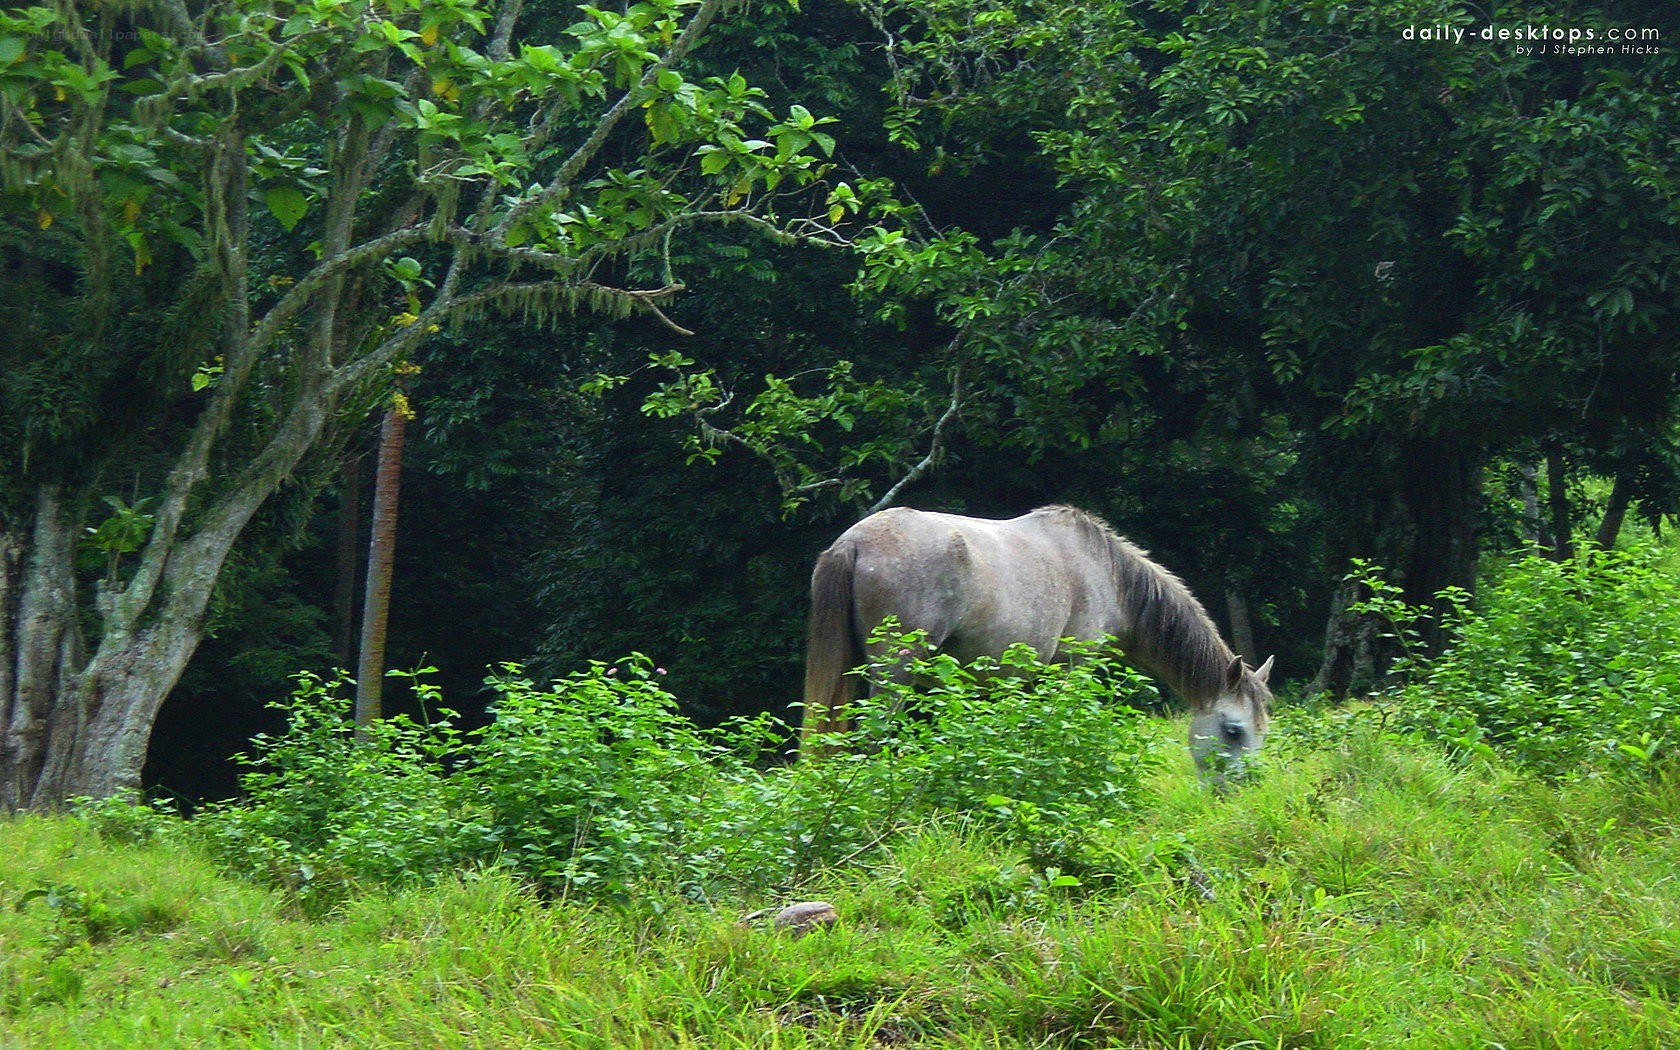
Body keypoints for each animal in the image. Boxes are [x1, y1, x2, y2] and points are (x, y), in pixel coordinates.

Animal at [800, 505, 1274, 781]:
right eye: (1233, 730)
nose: (1242, 791)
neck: (1109, 575)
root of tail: (852, 543)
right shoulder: (1072, 669)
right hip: (893, 672)